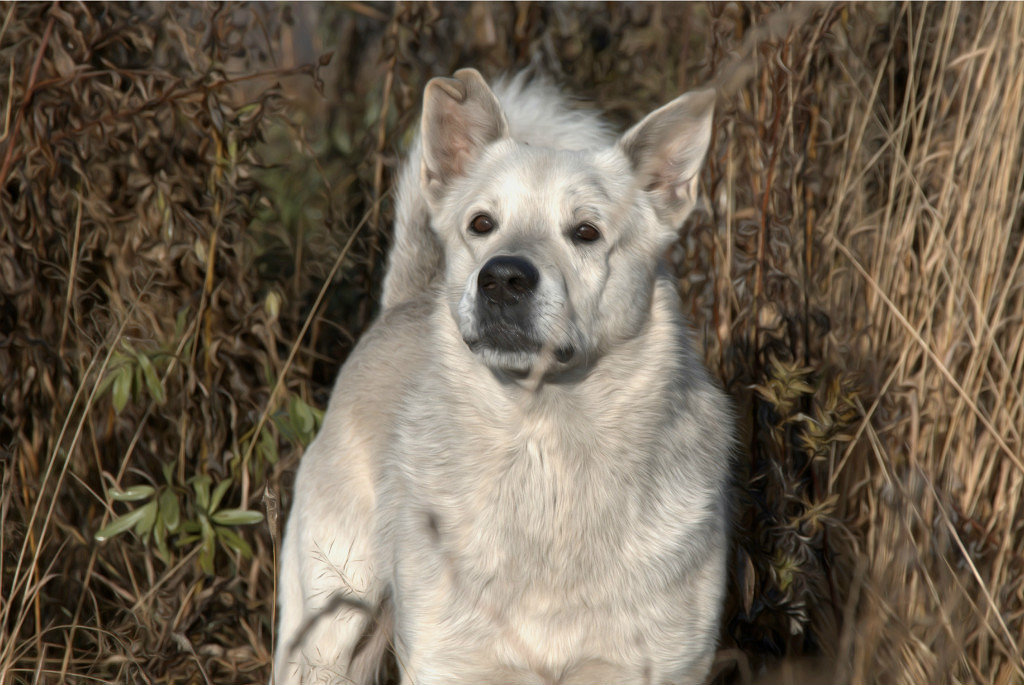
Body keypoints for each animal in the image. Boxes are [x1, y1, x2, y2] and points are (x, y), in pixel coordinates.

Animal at [276, 69, 733, 683]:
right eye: (482, 224)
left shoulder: (652, 665)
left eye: (586, 232)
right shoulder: (450, 662)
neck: (544, 442)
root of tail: (398, 307)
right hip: (327, 631)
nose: (502, 279)